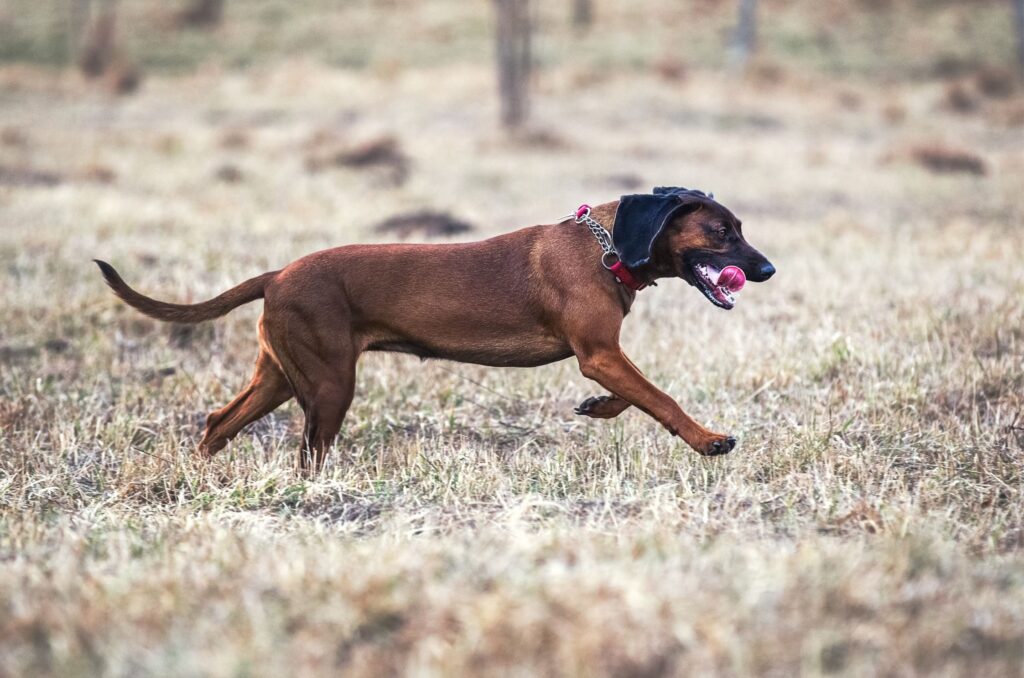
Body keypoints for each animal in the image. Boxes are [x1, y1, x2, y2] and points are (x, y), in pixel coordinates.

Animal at [97, 187, 774, 473]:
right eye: (721, 232)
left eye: (741, 227)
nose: (766, 270)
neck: (604, 247)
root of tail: (277, 275)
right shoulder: (599, 352)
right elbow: (661, 398)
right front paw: (709, 439)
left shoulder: (602, 356)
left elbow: (633, 396)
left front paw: (597, 408)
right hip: (328, 386)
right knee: (307, 454)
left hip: (281, 377)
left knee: (218, 422)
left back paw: (196, 479)